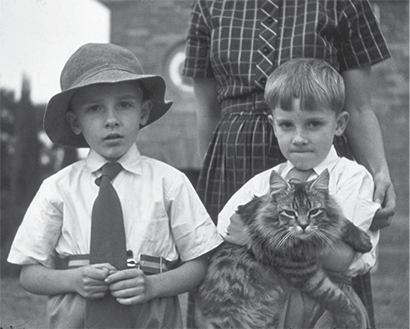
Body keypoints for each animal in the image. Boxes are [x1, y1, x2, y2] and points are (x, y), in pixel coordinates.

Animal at [195, 169, 372, 328]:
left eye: (314, 211)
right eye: (289, 212)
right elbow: (335, 297)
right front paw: (351, 319)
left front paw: (364, 241)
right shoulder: (305, 274)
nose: (303, 225)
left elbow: (343, 223)